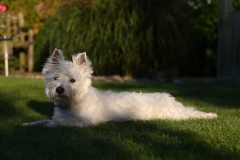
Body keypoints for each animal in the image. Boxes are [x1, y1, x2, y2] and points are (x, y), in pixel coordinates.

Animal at [23, 49, 217, 127]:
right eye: (55, 78)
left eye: (72, 80)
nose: (59, 90)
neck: (73, 103)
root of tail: (171, 100)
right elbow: (42, 120)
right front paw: (28, 123)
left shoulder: (86, 122)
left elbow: (60, 122)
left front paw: (50, 125)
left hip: (173, 116)